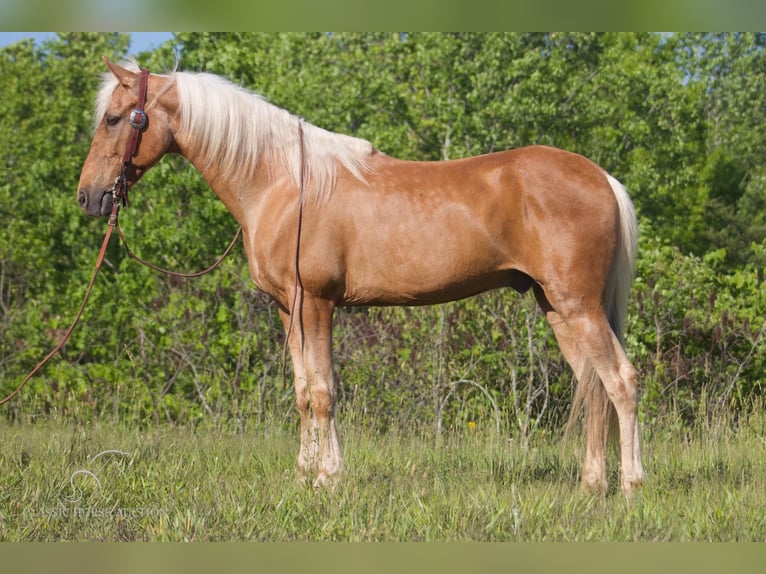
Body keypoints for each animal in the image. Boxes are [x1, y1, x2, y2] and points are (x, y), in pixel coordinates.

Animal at [78, 58, 644, 496]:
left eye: (114, 119)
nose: (89, 197)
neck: (282, 180)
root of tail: (602, 177)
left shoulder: (315, 302)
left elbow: (323, 391)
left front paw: (328, 478)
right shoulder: (287, 308)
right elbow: (303, 391)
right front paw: (305, 476)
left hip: (578, 306)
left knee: (621, 380)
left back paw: (631, 485)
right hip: (557, 307)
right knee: (593, 386)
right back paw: (591, 485)